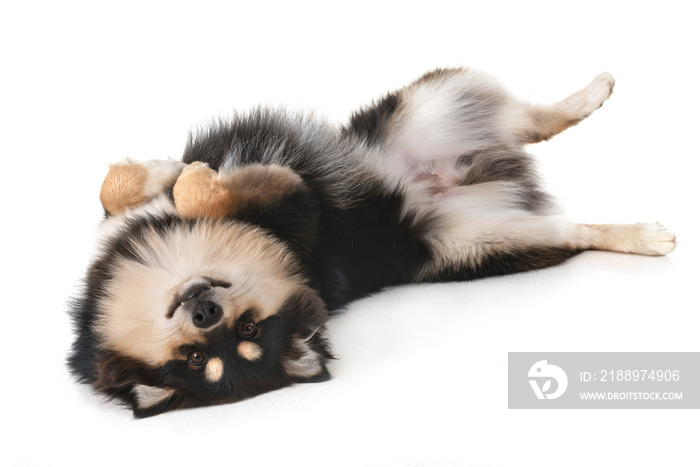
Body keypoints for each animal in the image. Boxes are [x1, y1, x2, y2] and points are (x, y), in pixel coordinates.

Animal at [68, 67, 676, 418]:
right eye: (196, 358)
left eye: (248, 329)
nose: (204, 311)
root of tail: (457, 179)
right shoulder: (300, 204)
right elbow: (186, 190)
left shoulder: (290, 197)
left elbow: (143, 187)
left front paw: (165, 173)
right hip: (483, 242)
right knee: (573, 224)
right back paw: (646, 236)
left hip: (429, 103)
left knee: (533, 119)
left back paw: (593, 92)